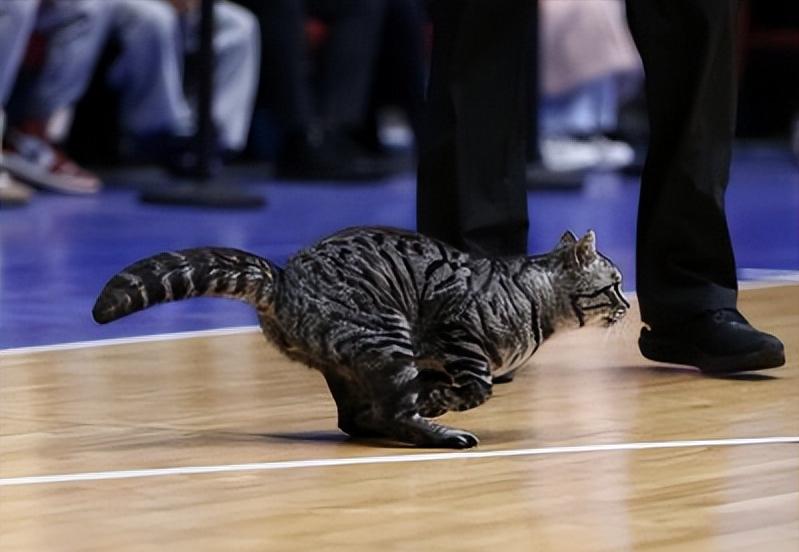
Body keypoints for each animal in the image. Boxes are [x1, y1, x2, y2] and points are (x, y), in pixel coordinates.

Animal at [93, 226, 628, 449]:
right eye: (617, 285)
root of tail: (284, 280)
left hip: (355, 360)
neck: (535, 296)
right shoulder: (457, 329)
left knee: (355, 419)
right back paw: (437, 432)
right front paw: (437, 402)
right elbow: (476, 388)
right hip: (387, 336)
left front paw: (434, 397)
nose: (626, 308)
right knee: (392, 414)